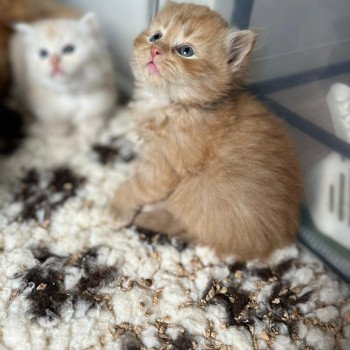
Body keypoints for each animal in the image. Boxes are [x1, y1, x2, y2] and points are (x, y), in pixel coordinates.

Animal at [112, 2, 304, 260]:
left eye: (185, 51)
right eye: (156, 36)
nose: (155, 50)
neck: (172, 104)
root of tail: (276, 242)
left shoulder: (162, 167)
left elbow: (137, 187)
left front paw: (117, 206)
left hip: (197, 191)